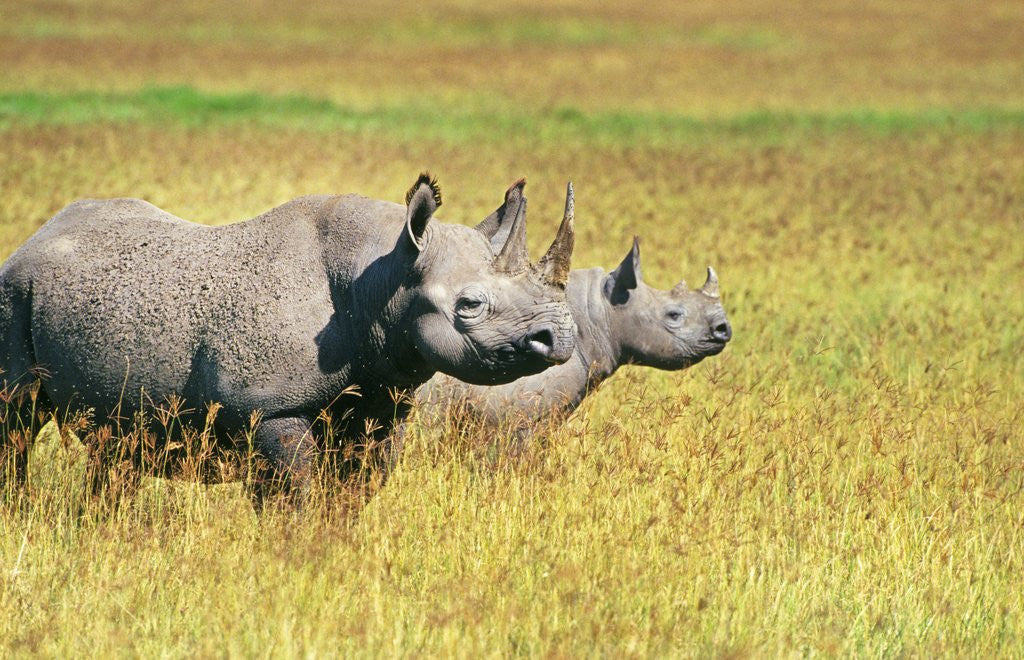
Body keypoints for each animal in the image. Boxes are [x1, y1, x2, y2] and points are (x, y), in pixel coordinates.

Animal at [0, 174, 577, 503]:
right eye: (469, 306)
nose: (561, 337)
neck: (383, 274)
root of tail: (37, 236)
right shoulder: (267, 407)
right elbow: (293, 496)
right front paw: (293, 558)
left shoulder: (378, 402)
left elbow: (354, 493)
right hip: (14, 290)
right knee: (17, 421)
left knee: (113, 443)